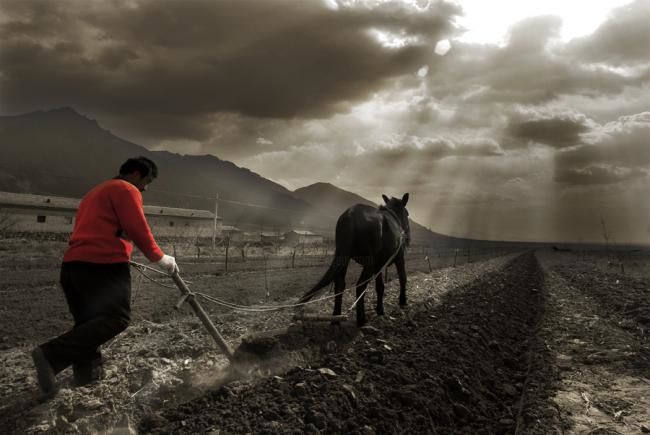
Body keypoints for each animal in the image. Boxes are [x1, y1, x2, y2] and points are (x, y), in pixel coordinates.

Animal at [296, 194, 408, 328]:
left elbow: (380, 286)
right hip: (368, 262)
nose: (408, 235)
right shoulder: (399, 257)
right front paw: (403, 301)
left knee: (339, 285)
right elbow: (402, 278)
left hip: (343, 256)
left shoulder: (379, 265)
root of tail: (350, 216)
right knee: (360, 286)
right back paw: (361, 320)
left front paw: (380, 310)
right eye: (407, 214)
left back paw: (336, 319)